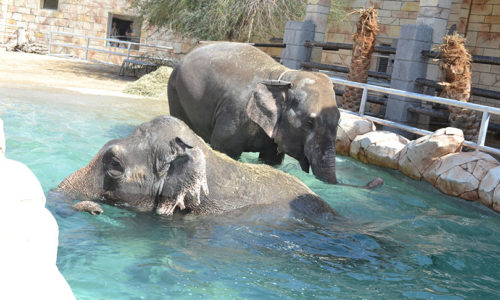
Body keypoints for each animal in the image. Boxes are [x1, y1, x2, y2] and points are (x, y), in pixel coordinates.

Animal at [167, 42, 364, 185]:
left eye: (339, 120)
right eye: (309, 123)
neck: (283, 77)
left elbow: (272, 159)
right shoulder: (234, 115)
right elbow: (225, 150)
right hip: (175, 91)